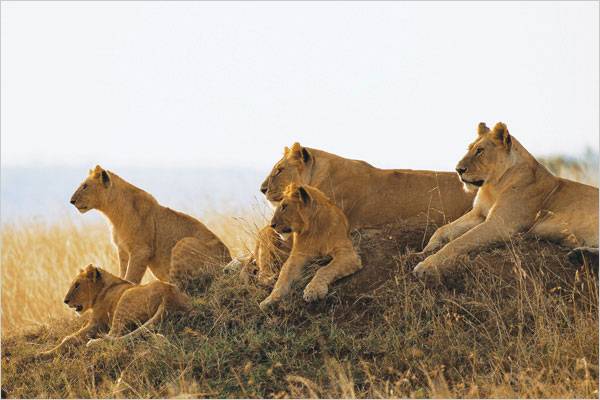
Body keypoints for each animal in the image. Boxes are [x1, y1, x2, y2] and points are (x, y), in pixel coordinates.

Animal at [39, 264, 190, 354]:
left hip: (125, 299)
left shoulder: (97, 323)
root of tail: (168, 294)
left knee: (114, 337)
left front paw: (44, 353)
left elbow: (69, 338)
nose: (65, 301)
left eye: (77, 285)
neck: (103, 288)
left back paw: (93, 343)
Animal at [69, 166, 231, 290]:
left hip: (184, 243)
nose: (71, 201)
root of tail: (228, 260)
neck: (113, 213)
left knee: (179, 286)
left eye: (85, 186)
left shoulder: (141, 250)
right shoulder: (122, 250)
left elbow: (131, 277)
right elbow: (123, 272)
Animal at [258, 182, 360, 310]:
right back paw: (270, 279)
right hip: (265, 242)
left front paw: (313, 290)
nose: (272, 225)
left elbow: (325, 269)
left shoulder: (346, 252)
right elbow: (283, 276)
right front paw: (270, 299)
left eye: (284, 206)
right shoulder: (297, 256)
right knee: (263, 270)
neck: (313, 228)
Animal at [414, 122, 596, 278]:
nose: (458, 170)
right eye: (469, 148)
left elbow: (458, 242)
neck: (493, 186)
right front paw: (424, 250)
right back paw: (579, 254)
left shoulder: (500, 225)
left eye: (480, 150)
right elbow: (443, 230)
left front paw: (425, 266)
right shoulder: (479, 214)